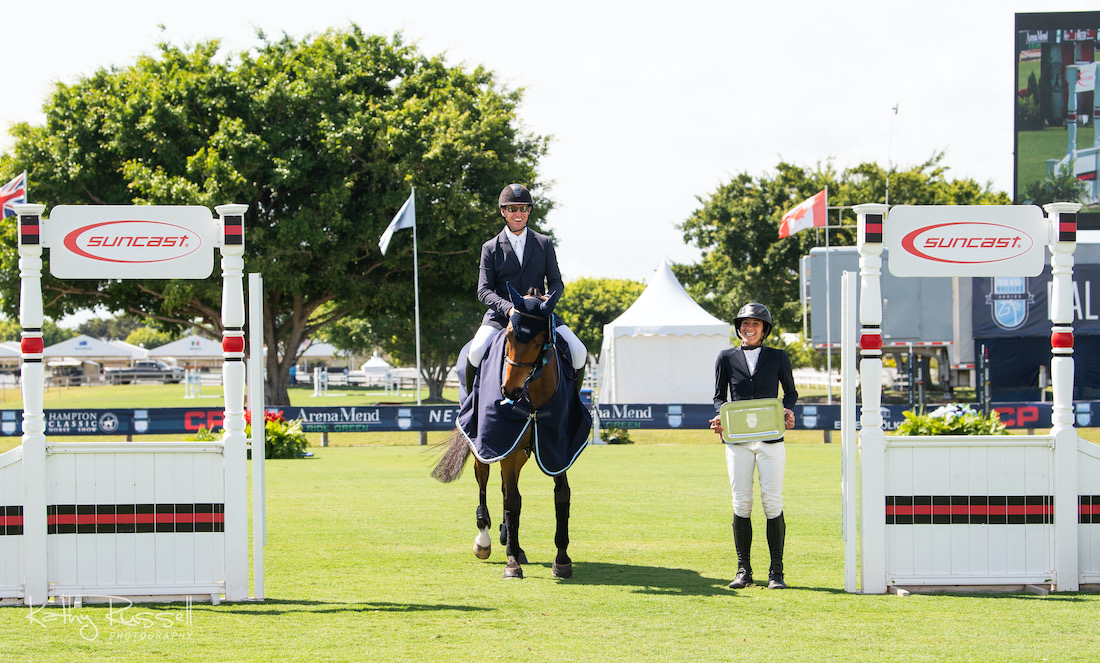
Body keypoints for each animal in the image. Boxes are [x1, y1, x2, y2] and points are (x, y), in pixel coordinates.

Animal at [433, 285, 576, 580]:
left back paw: (513, 544)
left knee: (503, 485)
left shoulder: (559, 449)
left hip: (520, 452)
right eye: (508, 336)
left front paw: (562, 559)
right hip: (484, 446)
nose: (509, 390)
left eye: (540, 340)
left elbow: (561, 496)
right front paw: (511, 563)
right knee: (484, 482)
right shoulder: (502, 445)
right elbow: (513, 501)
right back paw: (485, 540)